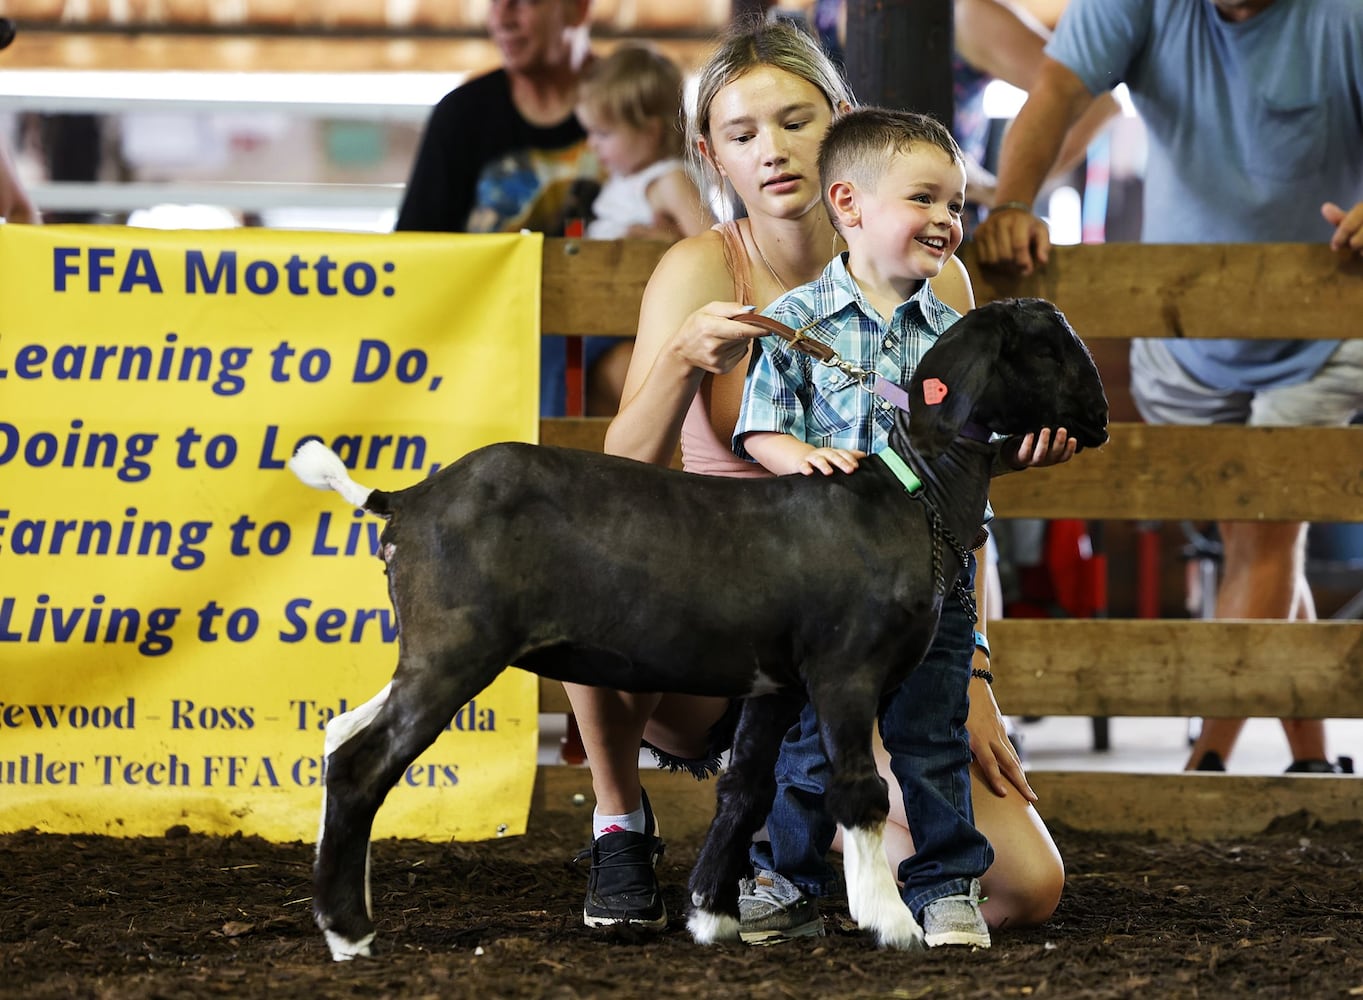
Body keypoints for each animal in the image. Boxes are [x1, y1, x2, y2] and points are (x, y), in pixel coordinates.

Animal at [287, 299, 1106, 964]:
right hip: (457, 642)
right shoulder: (846, 670)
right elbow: (857, 789)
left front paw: (714, 917)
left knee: (339, 733)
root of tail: (406, 500)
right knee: (363, 760)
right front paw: (892, 925)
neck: (914, 493)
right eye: (1049, 346)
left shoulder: (777, 684)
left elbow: (745, 789)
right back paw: (349, 932)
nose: (1099, 419)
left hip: (431, 647)